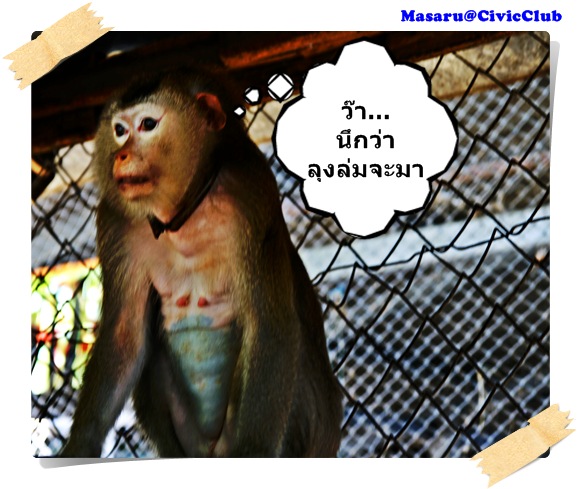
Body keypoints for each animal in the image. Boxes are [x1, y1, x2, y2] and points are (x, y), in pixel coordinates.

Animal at [59, 71, 343, 458]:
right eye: (119, 130)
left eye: (148, 125)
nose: (121, 155)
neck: (183, 213)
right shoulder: (116, 221)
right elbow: (124, 335)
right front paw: (80, 446)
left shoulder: (251, 195)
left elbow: (270, 324)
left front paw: (253, 451)